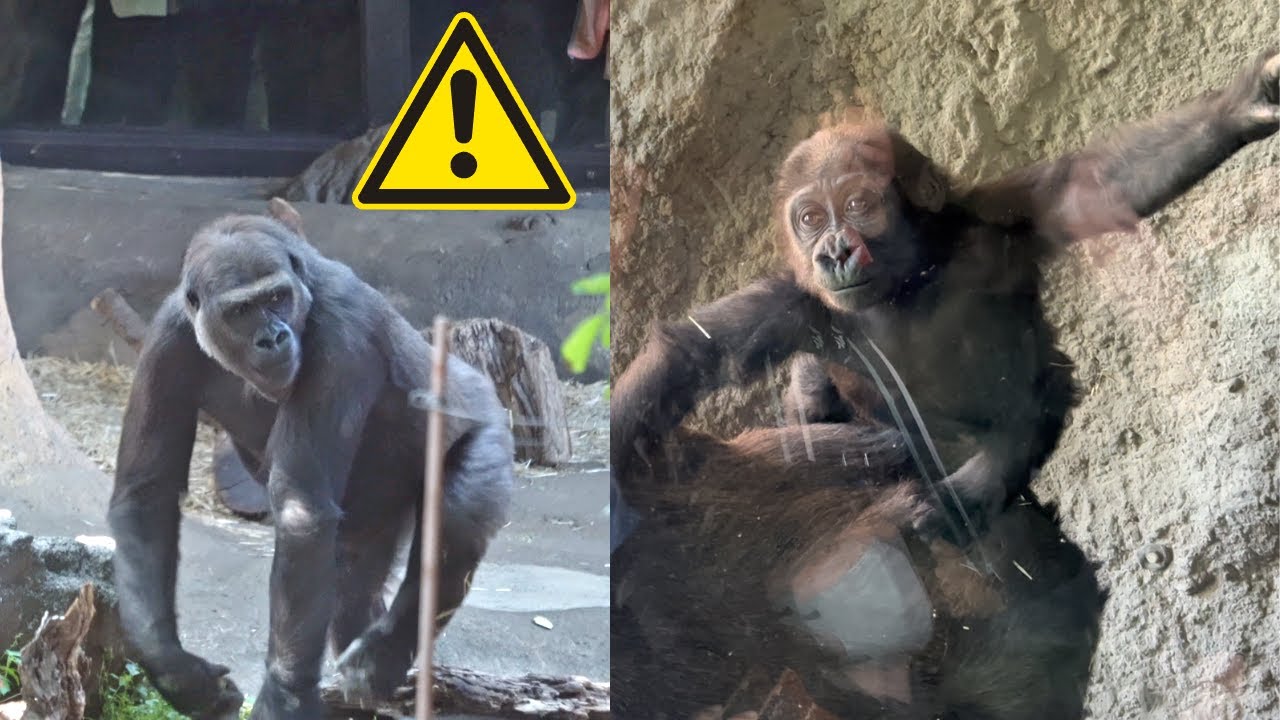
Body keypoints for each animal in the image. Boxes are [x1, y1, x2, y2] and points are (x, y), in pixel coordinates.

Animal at [106, 199, 514, 720]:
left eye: (278, 297)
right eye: (241, 310)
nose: (273, 338)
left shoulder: (344, 326)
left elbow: (300, 511)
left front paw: (285, 694)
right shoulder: (167, 335)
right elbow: (146, 493)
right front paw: (177, 671)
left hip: (487, 421)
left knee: (456, 519)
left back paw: (384, 653)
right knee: (352, 582)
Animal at [612, 48, 1280, 546]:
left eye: (858, 204)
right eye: (808, 218)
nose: (834, 251)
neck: (909, 282)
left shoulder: (998, 222)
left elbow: (1099, 183)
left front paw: (1241, 104)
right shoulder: (795, 306)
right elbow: (697, 350)